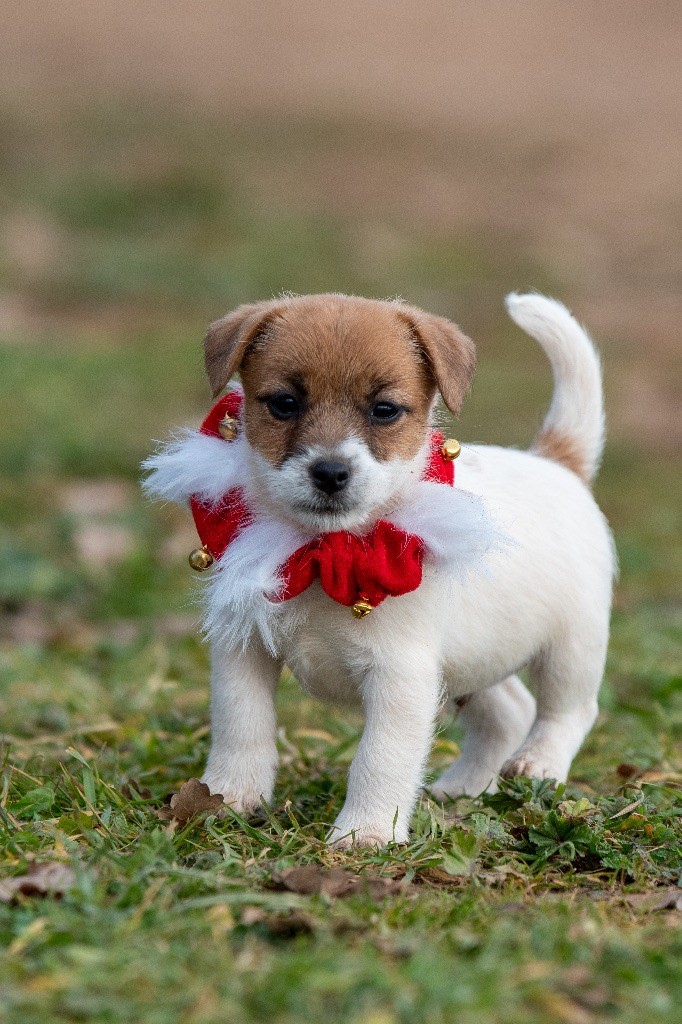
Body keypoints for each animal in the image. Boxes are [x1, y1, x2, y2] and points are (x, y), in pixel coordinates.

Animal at [142, 290, 610, 847]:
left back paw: (539, 764)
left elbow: (379, 759)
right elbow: (241, 725)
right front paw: (227, 796)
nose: (330, 472)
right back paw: (463, 789)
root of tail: (557, 463)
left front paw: (365, 833)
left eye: (384, 410)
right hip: (472, 660)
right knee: (509, 713)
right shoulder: (244, 650)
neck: (322, 553)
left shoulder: (399, 678)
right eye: (284, 403)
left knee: (569, 711)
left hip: (572, 647)